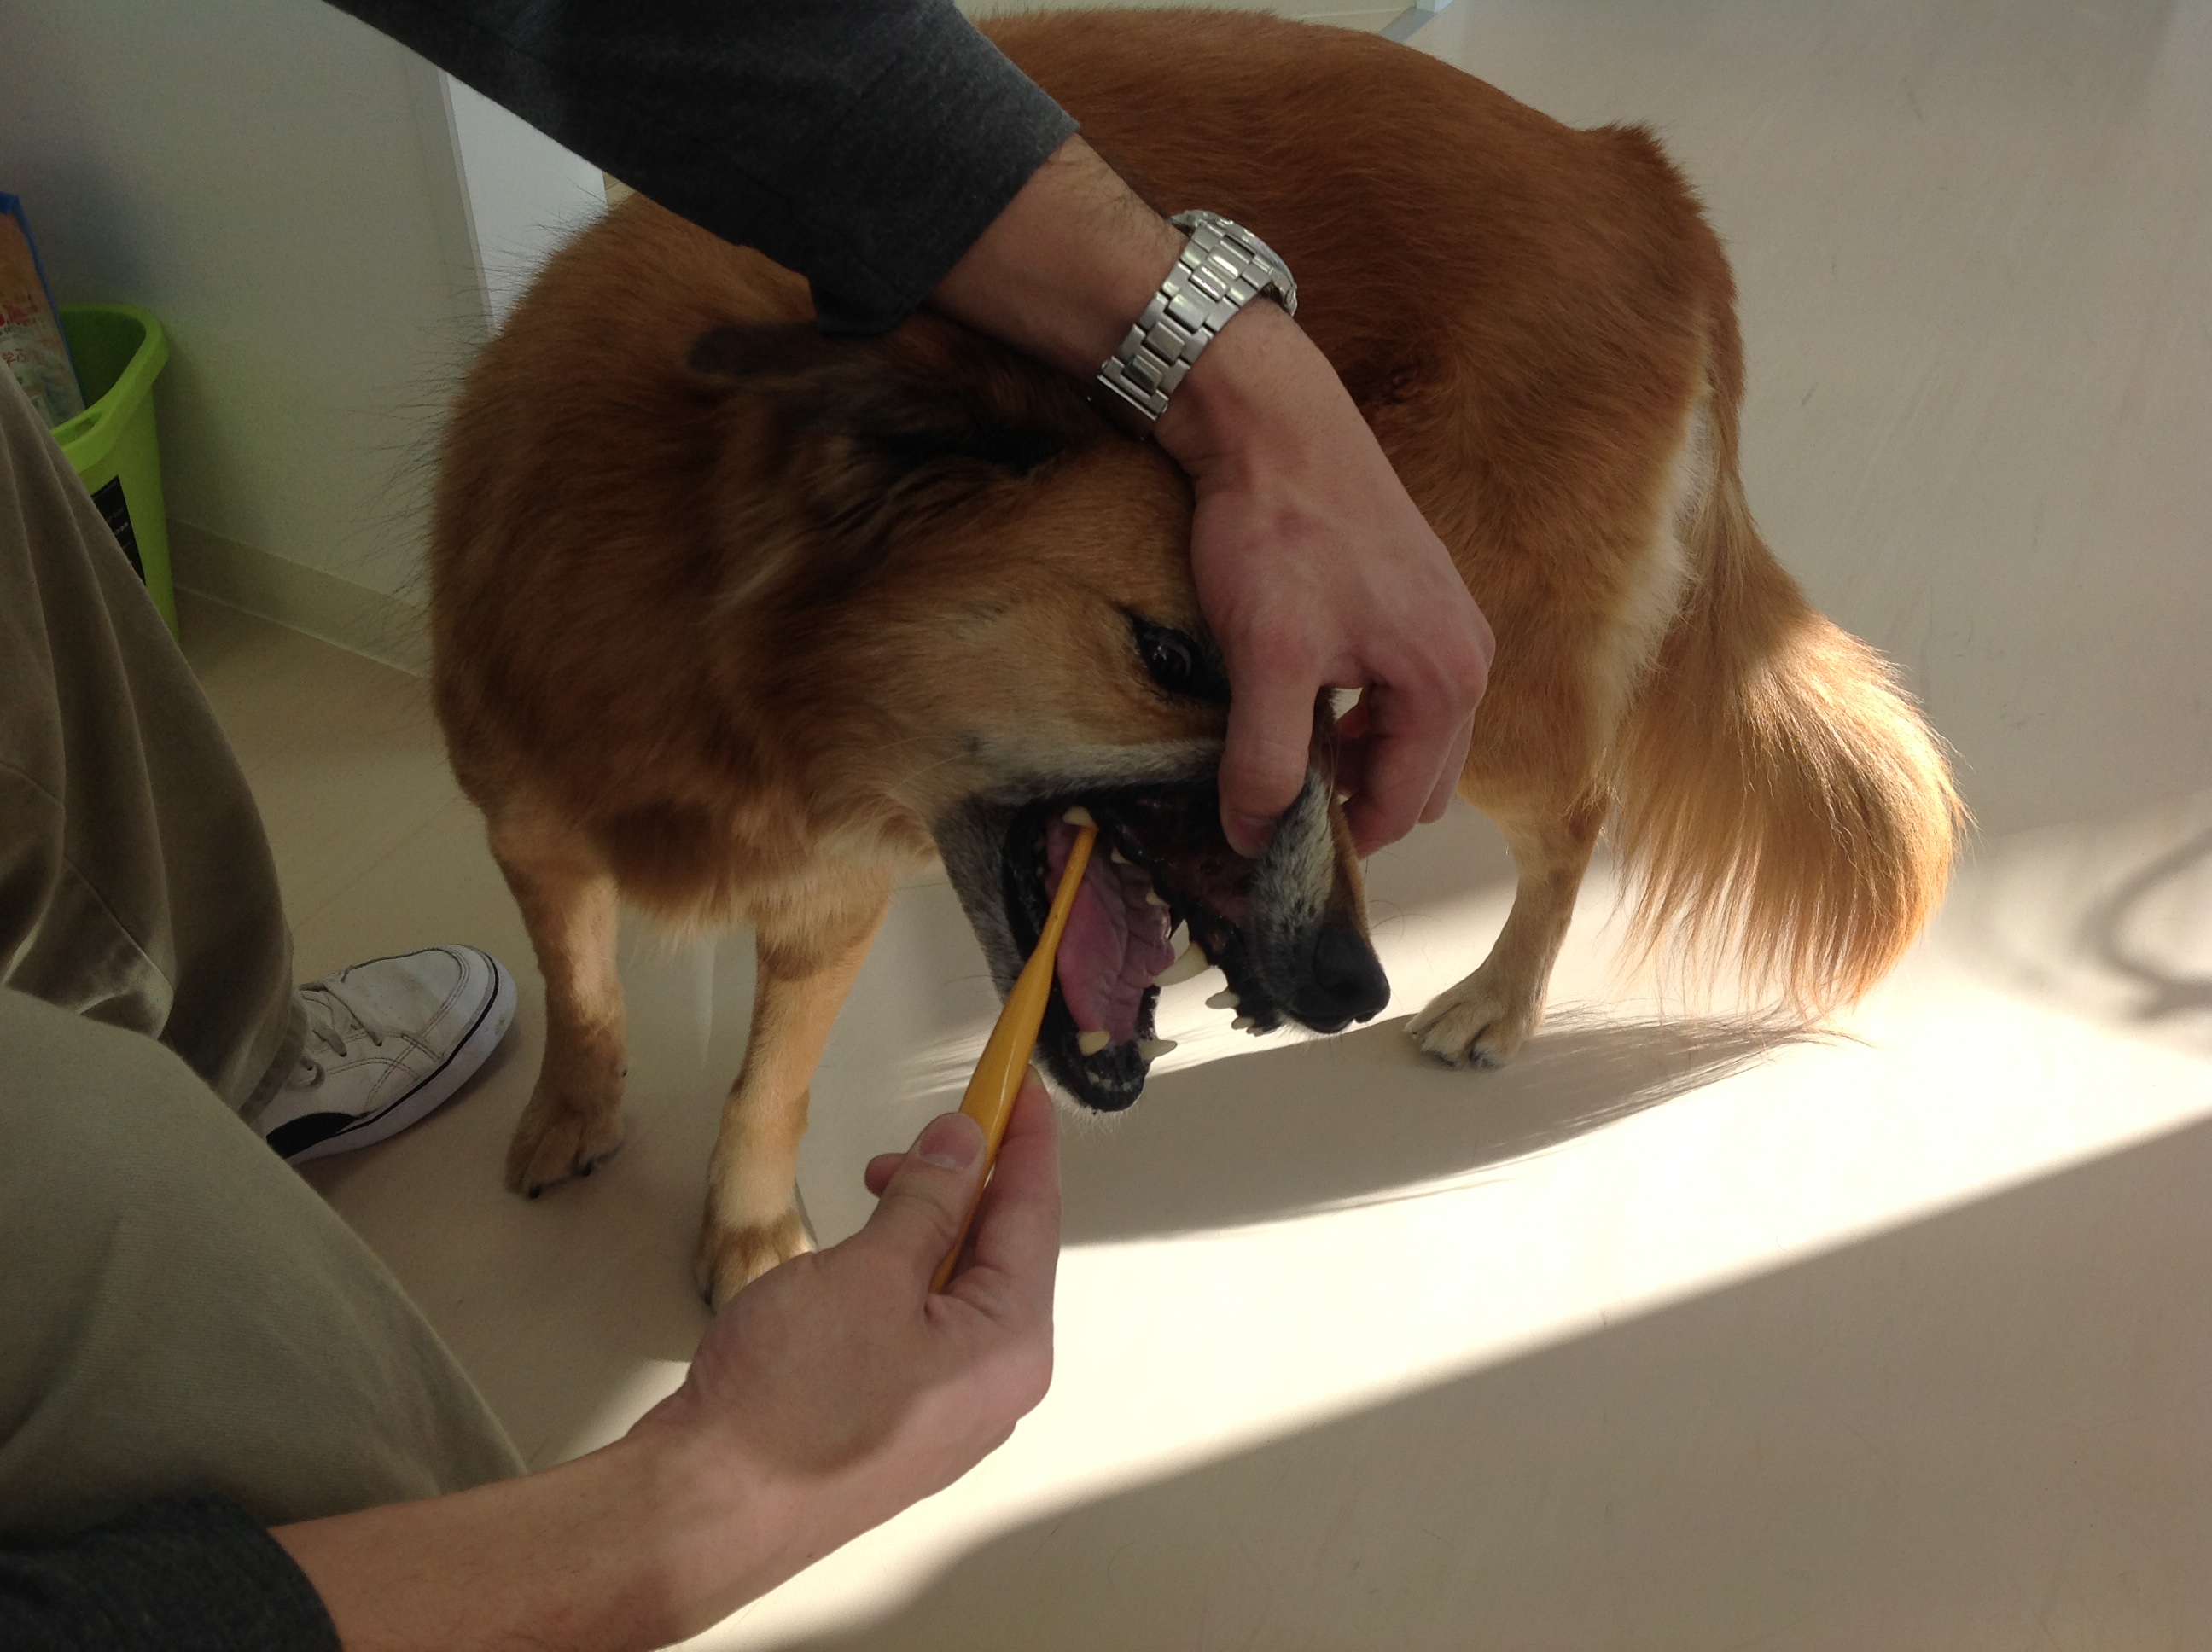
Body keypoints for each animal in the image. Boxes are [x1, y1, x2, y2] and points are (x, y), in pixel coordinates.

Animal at [429, 11, 1961, 1305]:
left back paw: (1494, 1002)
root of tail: (1636, 175)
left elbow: (766, 1086)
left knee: (1580, 814)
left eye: (1287, 678)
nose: (1352, 987)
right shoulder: (527, 822)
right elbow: (576, 976)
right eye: (1172, 654)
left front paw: (748, 1243)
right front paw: (574, 1107)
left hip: (1491, 671)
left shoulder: (831, 896)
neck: (705, 643)